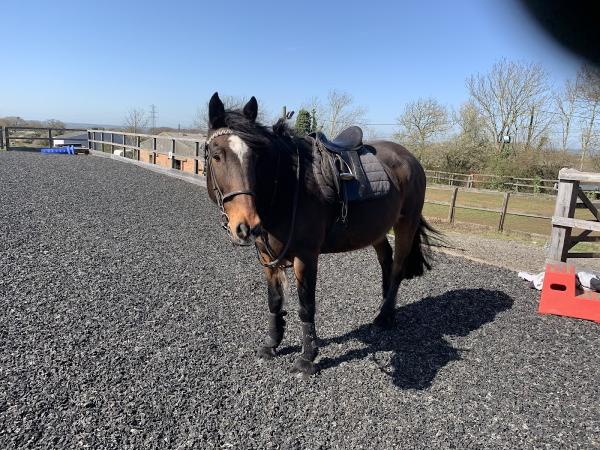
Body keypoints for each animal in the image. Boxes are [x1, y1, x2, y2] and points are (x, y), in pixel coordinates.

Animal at [203, 91, 436, 376]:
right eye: (216, 155)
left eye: (256, 158)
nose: (246, 225)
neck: (288, 186)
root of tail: (411, 159)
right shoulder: (267, 257)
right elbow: (274, 301)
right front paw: (271, 344)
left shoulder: (306, 256)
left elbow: (306, 307)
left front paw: (307, 358)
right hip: (378, 230)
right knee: (387, 261)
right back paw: (386, 310)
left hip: (406, 224)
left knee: (398, 268)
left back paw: (384, 316)